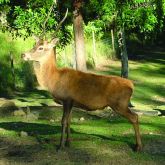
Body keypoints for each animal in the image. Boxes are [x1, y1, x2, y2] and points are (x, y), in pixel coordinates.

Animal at [21, 9, 142, 152]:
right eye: (35, 44)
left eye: (41, 48)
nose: (23, 54)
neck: (54, 80)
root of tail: (131, 85)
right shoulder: (72, 101)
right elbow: (69, 120)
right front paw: (68, 143)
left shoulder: (66, 99)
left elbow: (63, 121)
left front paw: (60, 146)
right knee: (135, 116)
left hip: (119, 104)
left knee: (135, 117)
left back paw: (138, 147)